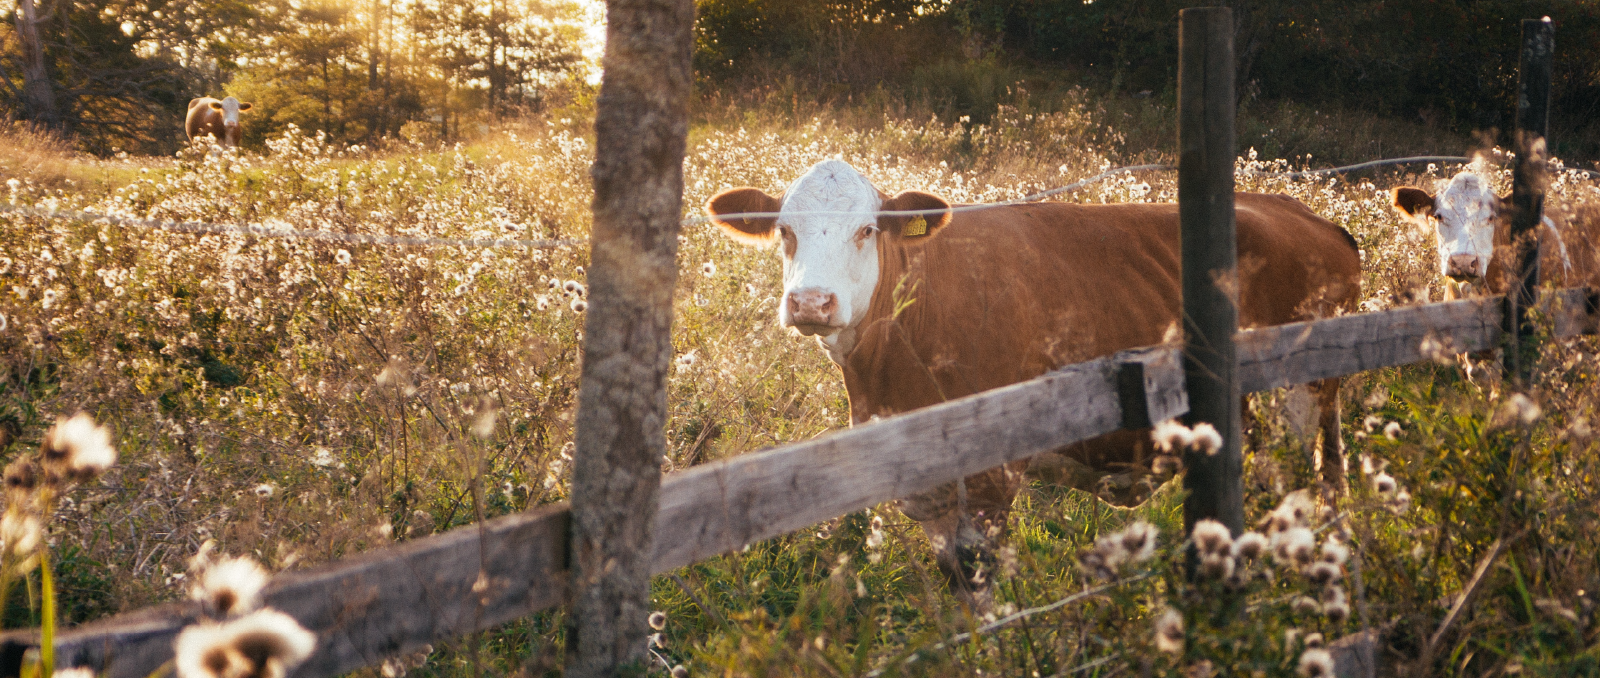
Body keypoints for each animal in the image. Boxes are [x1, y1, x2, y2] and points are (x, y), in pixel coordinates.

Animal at [707, 161, 1356, 607]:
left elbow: (978, 578)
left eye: (868, 230)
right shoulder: (925, 485)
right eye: (784, 231)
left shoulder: (991, 477)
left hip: (1296, 402)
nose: (811, 302)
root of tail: (1308, 216)